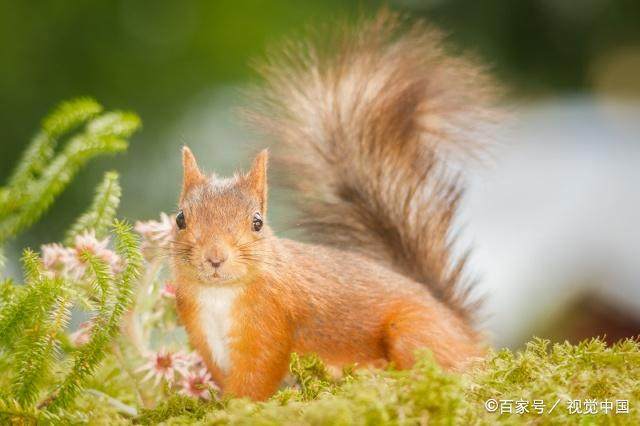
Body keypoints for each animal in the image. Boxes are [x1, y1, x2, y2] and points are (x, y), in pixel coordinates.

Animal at [172, 11, 498, 402]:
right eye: (180, 219)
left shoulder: (271, 325)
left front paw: (234, 406)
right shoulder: (203, 335)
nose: (215, 257)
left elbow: (257, 378)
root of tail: (464, 331)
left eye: (257, 222)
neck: (219, 295)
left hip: (414, 330)